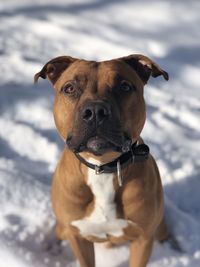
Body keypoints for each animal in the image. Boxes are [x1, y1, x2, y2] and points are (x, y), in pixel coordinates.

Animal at [34, 54, 169, 267]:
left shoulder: (143, 238)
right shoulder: (78, 237)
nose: (95, 111)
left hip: (158, 228)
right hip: (64, 229)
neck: (102, 168)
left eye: (124, 86)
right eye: (69, 88)